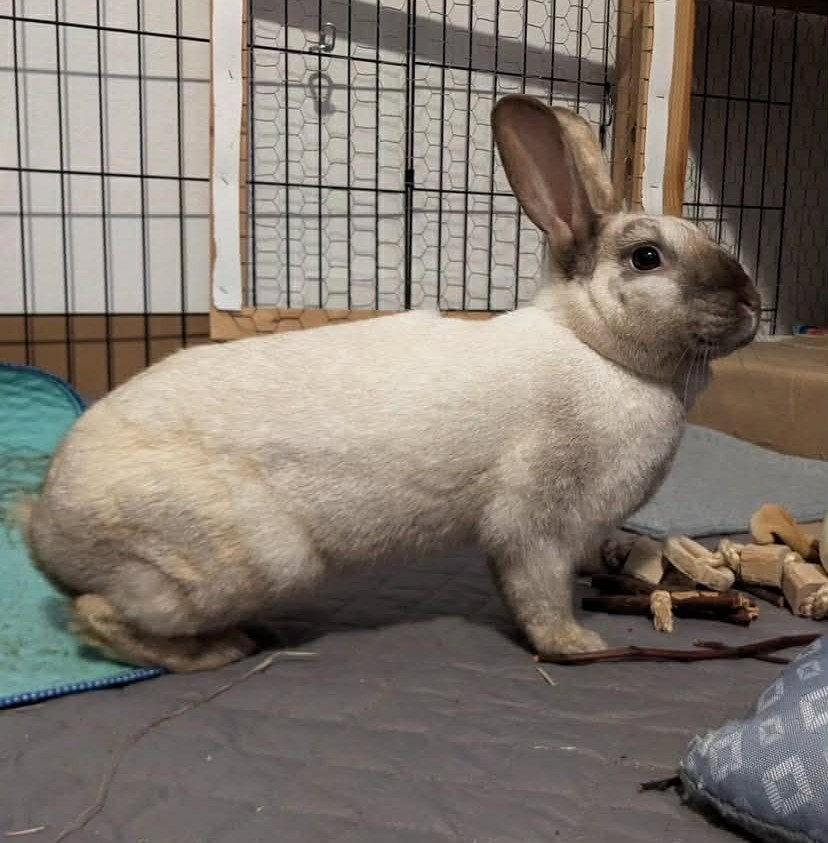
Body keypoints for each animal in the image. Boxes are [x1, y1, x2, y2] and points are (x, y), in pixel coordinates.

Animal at [23, 94, 760, 672]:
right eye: (647, 257)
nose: (753, 303)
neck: (596, 348)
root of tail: (47, 525)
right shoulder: (535, 519)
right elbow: (536, 590)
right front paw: (577, 644)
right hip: (249, 558)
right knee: (95, 615)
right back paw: (217, 650)